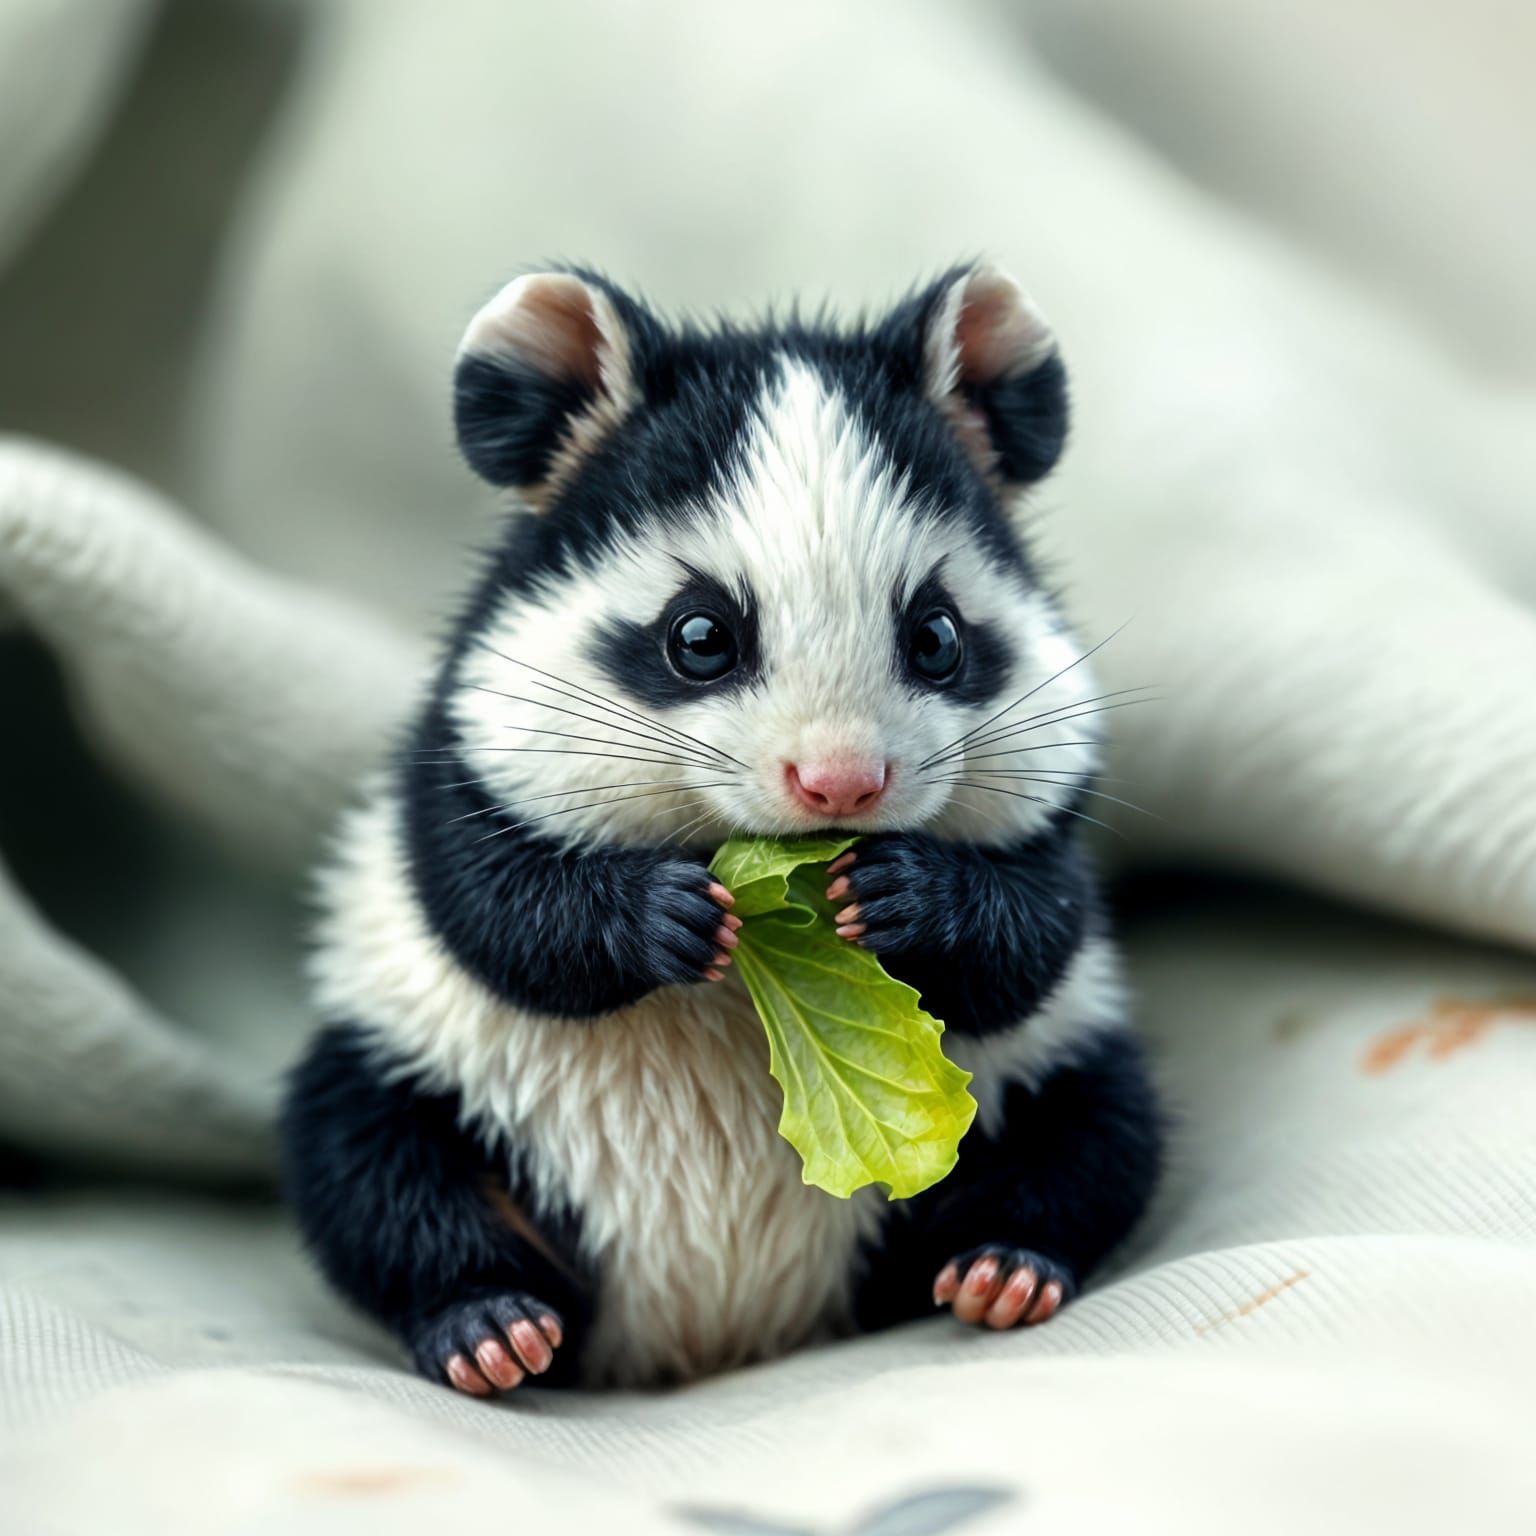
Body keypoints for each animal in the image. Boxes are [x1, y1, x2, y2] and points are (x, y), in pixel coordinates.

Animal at [281, 264, 1162, 1395]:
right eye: (699, 636)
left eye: (937, 636)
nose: (841, 787)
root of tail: (712, 1337)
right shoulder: (465, 746)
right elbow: (492, 910)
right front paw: (662, 919)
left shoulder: (1055, 791)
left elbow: (1036, 933)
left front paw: (906, 899)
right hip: (425, 1069)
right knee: (371, 1167)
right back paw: (485, 1322)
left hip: (1034, 1085)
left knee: (1096, 1130)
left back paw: (1003, 1263)